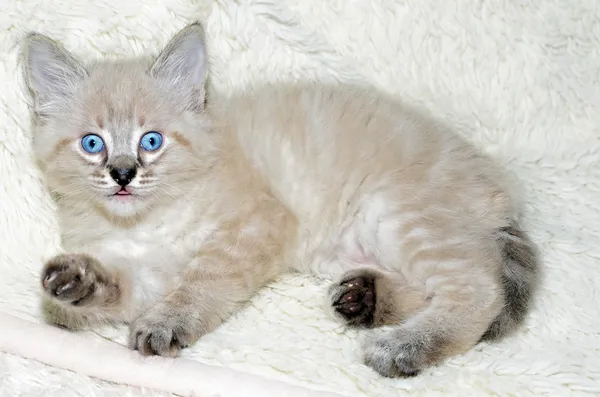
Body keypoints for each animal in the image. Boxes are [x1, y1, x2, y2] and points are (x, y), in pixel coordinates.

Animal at [19, 23, 540, 376]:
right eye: (93, 144)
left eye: (151, 141)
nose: (123, 174)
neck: (145, 221)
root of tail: (498, 189)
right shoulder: (147, 269)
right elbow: (118, 288)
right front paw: (77, 283)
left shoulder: (255, 226)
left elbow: (200, 284)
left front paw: (168, 323)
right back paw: (366, 300)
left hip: (398, 212)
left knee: (479, 292)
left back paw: (403, 348)